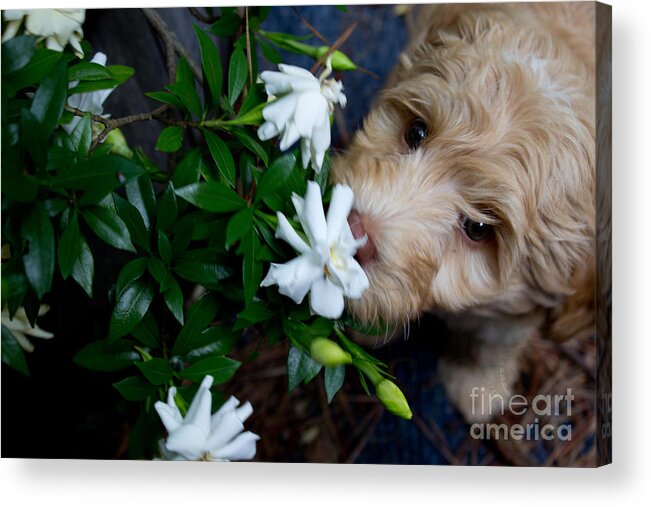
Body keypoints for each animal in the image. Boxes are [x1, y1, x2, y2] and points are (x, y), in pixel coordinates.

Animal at [334, 1, 600, 422]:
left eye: (477, 228)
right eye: (416, 132)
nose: (352, 229)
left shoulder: (516, 313)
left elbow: (492, 346)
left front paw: (478, 388)